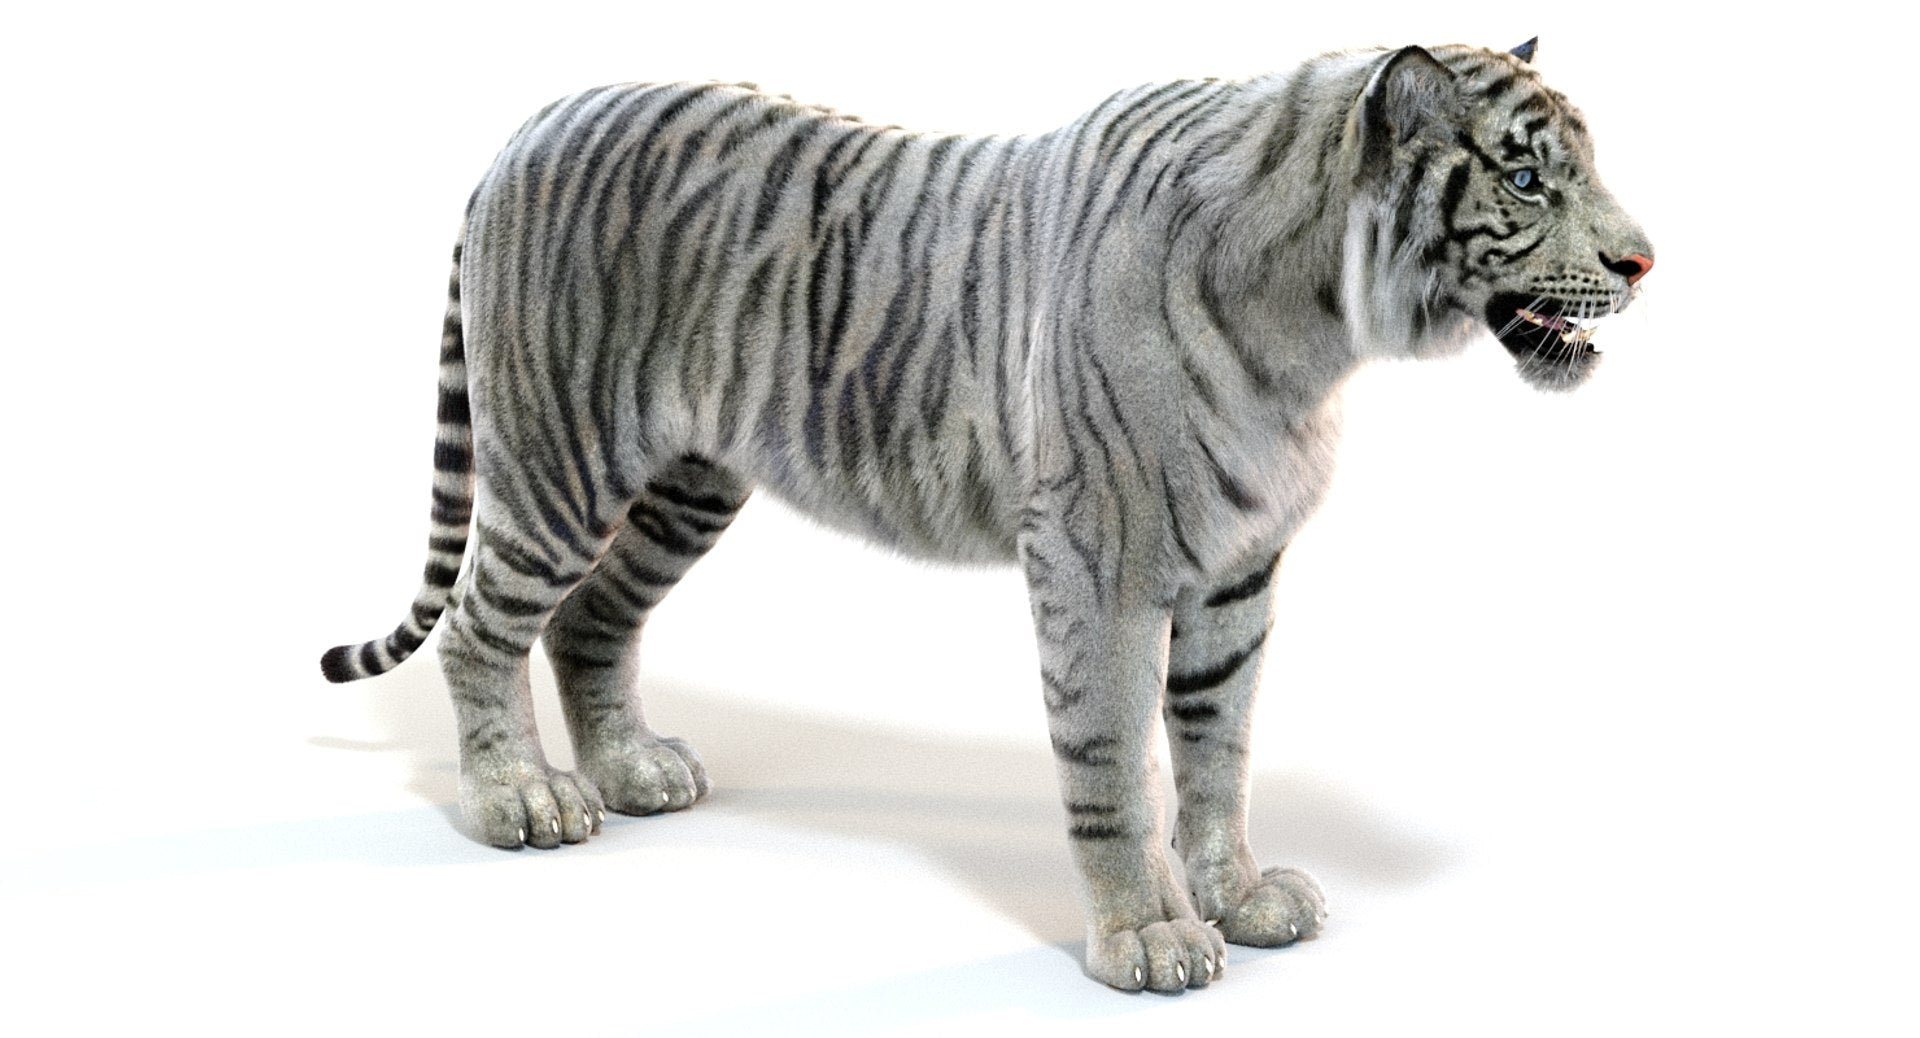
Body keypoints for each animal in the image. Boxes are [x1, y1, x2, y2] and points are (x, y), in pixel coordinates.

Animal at [320, 37, 1652, 992]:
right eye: (1527, 178)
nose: (1645, 262)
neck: (1320, 329)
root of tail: (530, 124)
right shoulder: (1101, 562)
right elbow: (1115, 757)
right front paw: (1147, 943)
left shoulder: (1240, 575)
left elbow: (1219, 750)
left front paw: (1240, 896)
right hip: (562, 459)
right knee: (480, 627)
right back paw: (520, 803)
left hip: (689, 483)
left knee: (590, 620)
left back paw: (635, 772)